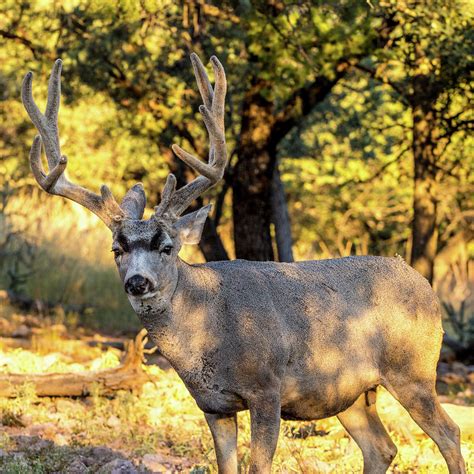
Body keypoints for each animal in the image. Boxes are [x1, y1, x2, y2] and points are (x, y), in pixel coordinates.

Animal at [20, 55, 464, 474]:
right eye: (117, 249)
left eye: (167, 247)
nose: (137, 282)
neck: (211, 327)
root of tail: (424, 284)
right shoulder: (213, 405)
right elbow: (227, 466)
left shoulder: (267, 389)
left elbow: (258, 465)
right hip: (350, 394)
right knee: (382, 447)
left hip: (414, 370)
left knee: (450, 433)